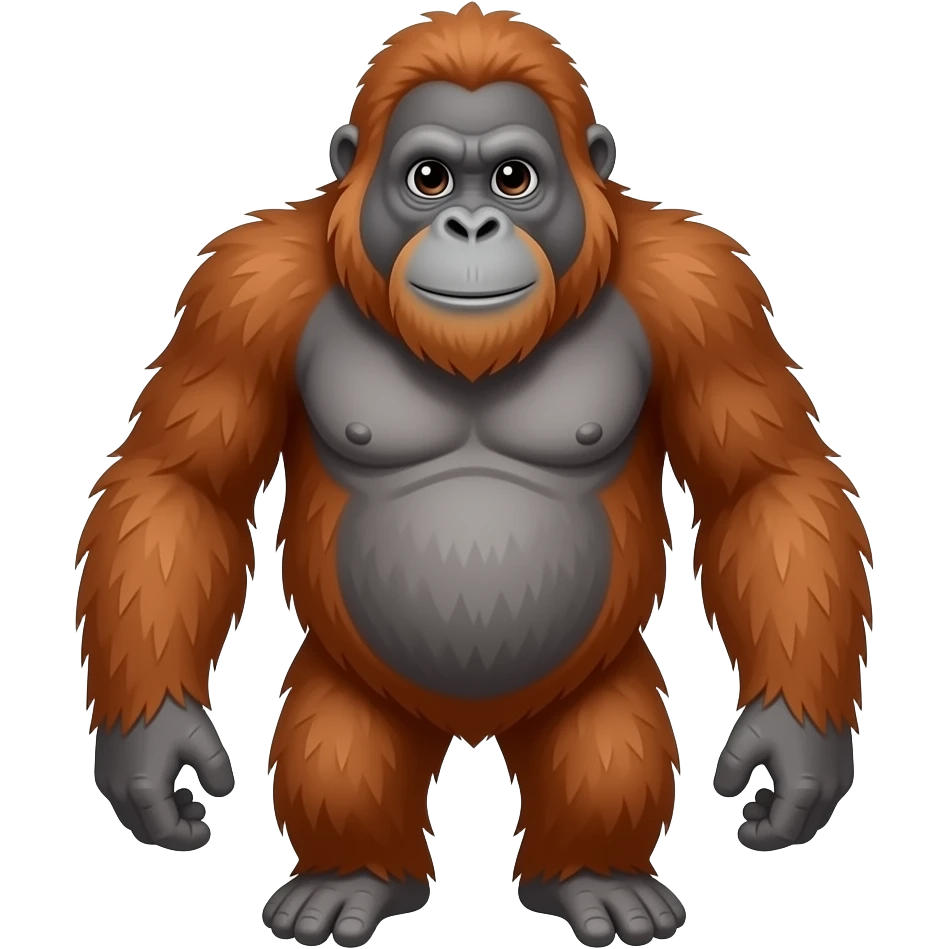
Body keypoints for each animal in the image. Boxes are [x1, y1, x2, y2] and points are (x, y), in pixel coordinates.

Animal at [75, 5, 872, 948]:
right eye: (428, 177)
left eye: (512, 177)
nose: (470, 227)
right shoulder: (243, 290)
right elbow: (182, 483)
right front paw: (154, 742)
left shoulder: (702, 289)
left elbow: (765, 482)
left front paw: (793, 743)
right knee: (341, 740)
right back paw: (352, 877)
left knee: (605, 741)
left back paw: (595, 877)